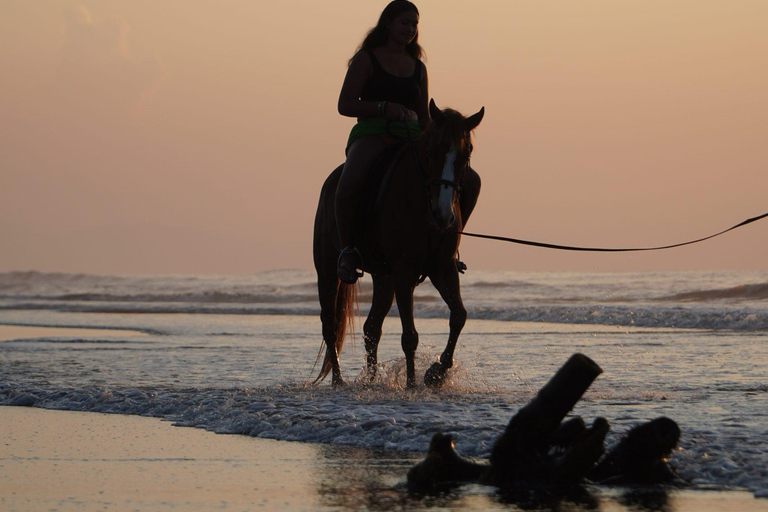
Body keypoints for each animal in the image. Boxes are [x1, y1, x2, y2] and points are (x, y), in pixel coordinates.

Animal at [313, 99, 484, 388]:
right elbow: (410, 336)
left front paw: (437, 373)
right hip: (327, 270)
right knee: (330, 324)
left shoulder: (442, 268)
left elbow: (459, 315)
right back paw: (338, 381)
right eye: (431, 150)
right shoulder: (405, 272)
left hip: (385, 277)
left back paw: (371, 380)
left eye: (466, 153)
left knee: (371, 326)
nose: (443, 215)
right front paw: (412, 385)